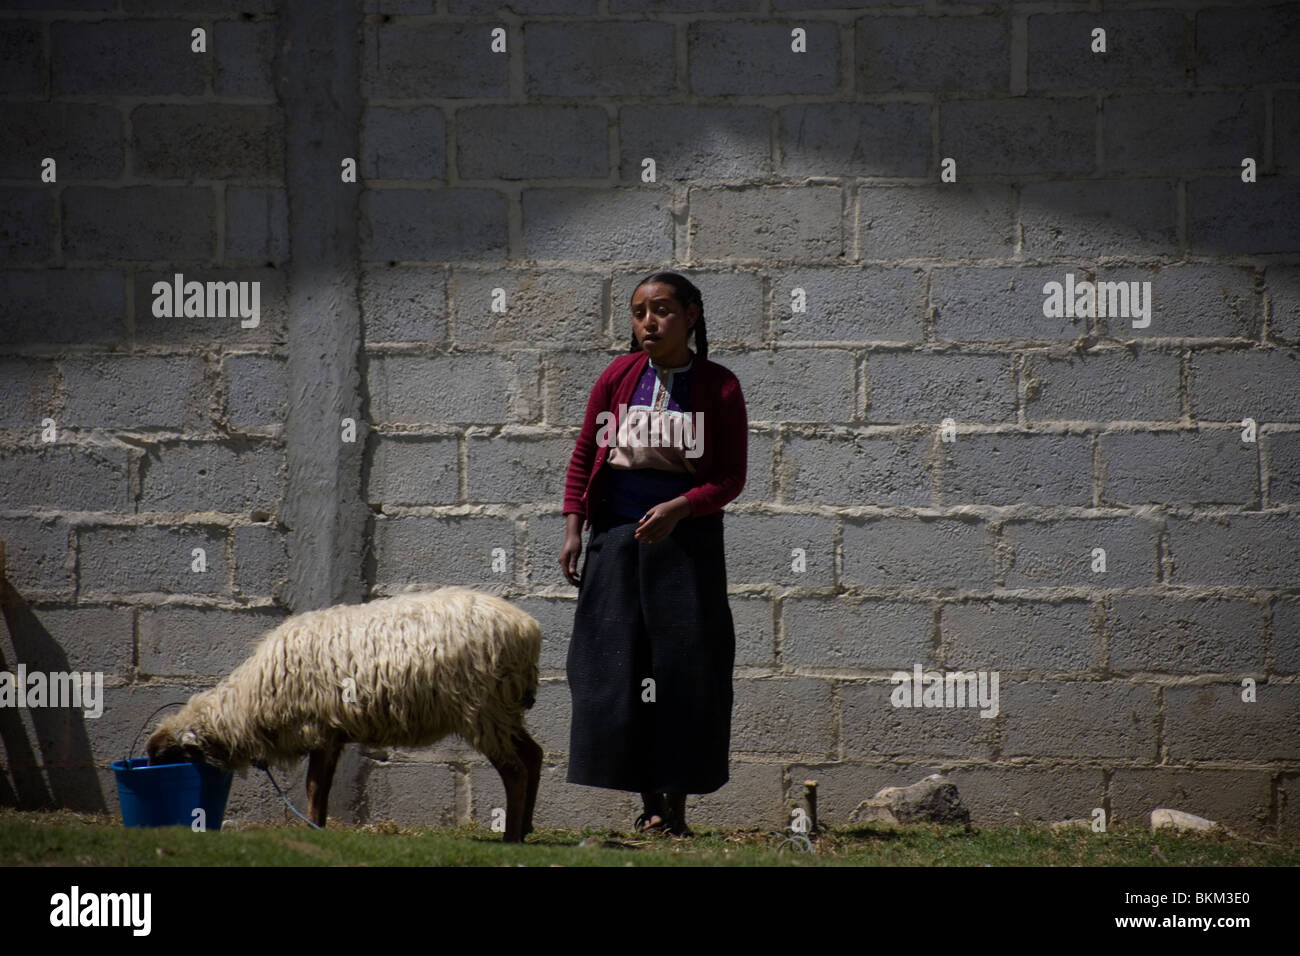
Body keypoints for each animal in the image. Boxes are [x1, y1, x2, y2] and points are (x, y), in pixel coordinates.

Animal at [146, 587, 543, 842]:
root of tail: (528, 628)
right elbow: (321, 785)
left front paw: (312, 829)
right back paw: (525, 828)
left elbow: (313, 786)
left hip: (483, 710)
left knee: (515, 771)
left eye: (167, 757)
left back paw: (511, 838)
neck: (246, 706)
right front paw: (318, 827)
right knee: (533, 755)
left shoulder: (318, 726)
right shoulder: (332, 734)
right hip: (503, 711)